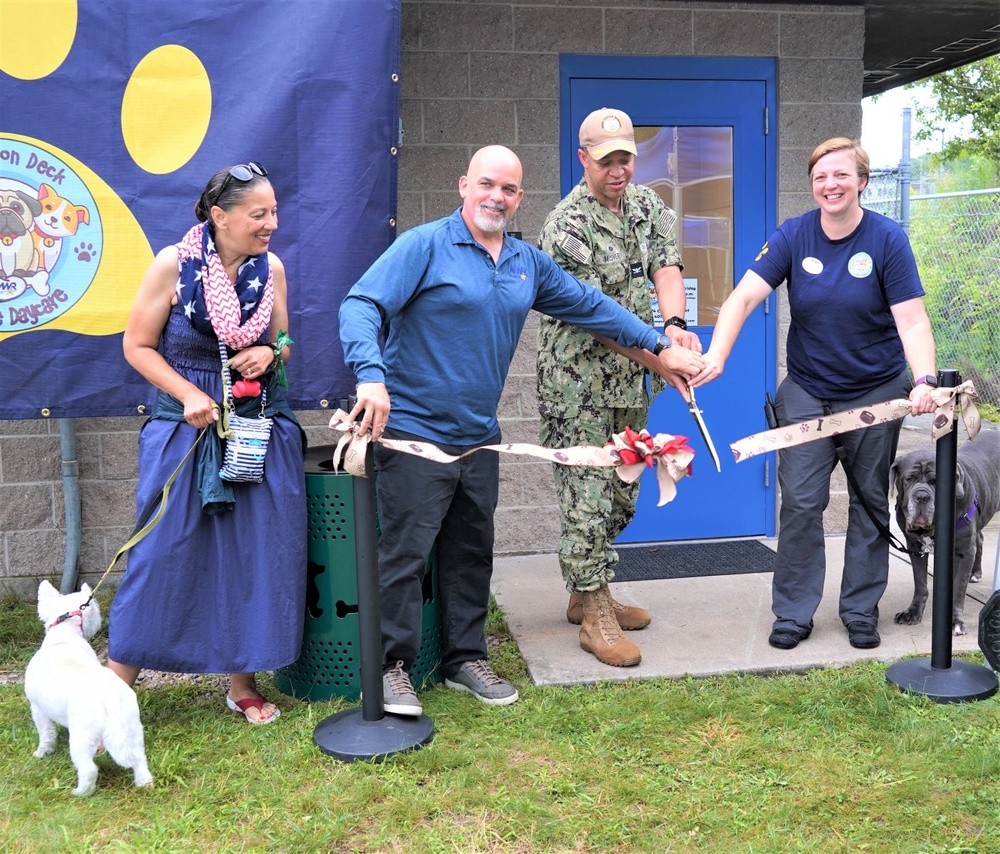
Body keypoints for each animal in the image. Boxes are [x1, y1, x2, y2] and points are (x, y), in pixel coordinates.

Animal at [22, 580, 152, 800]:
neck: (65, 636)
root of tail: (108, 699)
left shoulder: (38, 709)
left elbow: (45, 733)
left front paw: (41, 753)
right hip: (132, 726)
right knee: (139, 758)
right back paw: (145, 783)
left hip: (82, 735)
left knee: (88, 768)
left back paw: (80, 792)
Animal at [892, 434, 1000, 636]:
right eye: (908, 479)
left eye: (936, 481)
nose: (921, 497)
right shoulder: (914, 547)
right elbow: (920, 583)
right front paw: (913, 612)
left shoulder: (965, 551)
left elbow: (958, 589)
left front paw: (955, 622)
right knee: (980, 538)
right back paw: (976, 572)